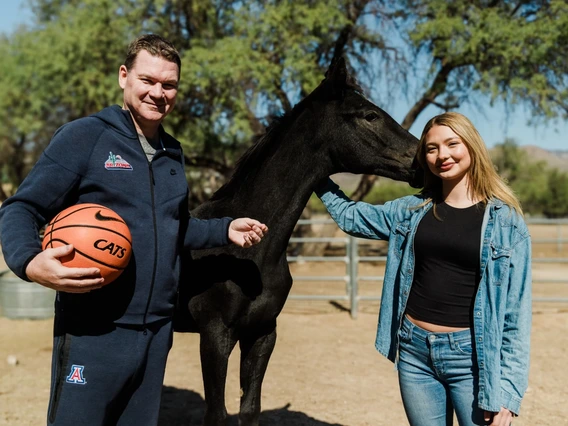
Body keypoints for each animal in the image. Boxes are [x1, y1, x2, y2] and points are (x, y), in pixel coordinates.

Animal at [176, 59, 422, 426]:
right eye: (369, 115)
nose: (422, 159)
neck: (248, 253)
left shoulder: (262, 334)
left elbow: (249, 409)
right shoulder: (214, 336)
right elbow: (217, 414)